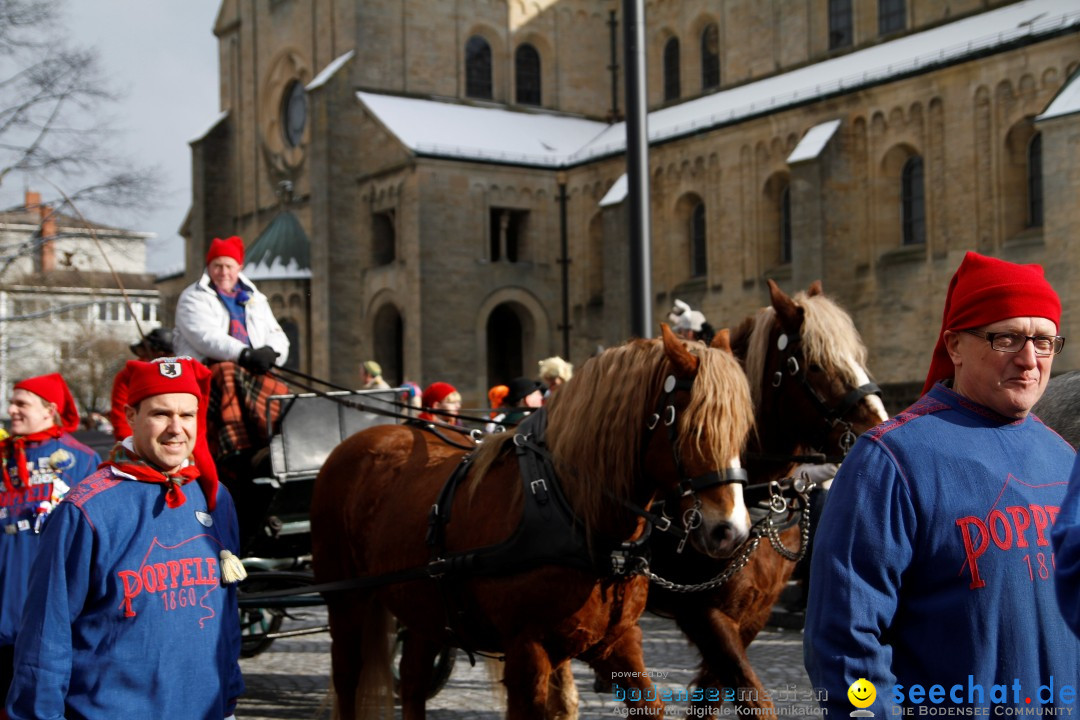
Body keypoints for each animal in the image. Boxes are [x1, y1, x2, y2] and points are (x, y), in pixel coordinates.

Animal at [308, 325, 756, 720]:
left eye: (743, 430)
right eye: (693, 428)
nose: (730, 530)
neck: (570, 507)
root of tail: (355, 443)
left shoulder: (618, 642)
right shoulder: (528, 651)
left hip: (424, 610)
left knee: (414, 681)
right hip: (347, 601)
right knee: (347, 679)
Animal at [639, 278, 885, 712]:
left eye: (858, 357)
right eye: (816, 365)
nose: (881, 426)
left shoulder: (751, 613)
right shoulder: (701, 612)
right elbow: (753, 696)